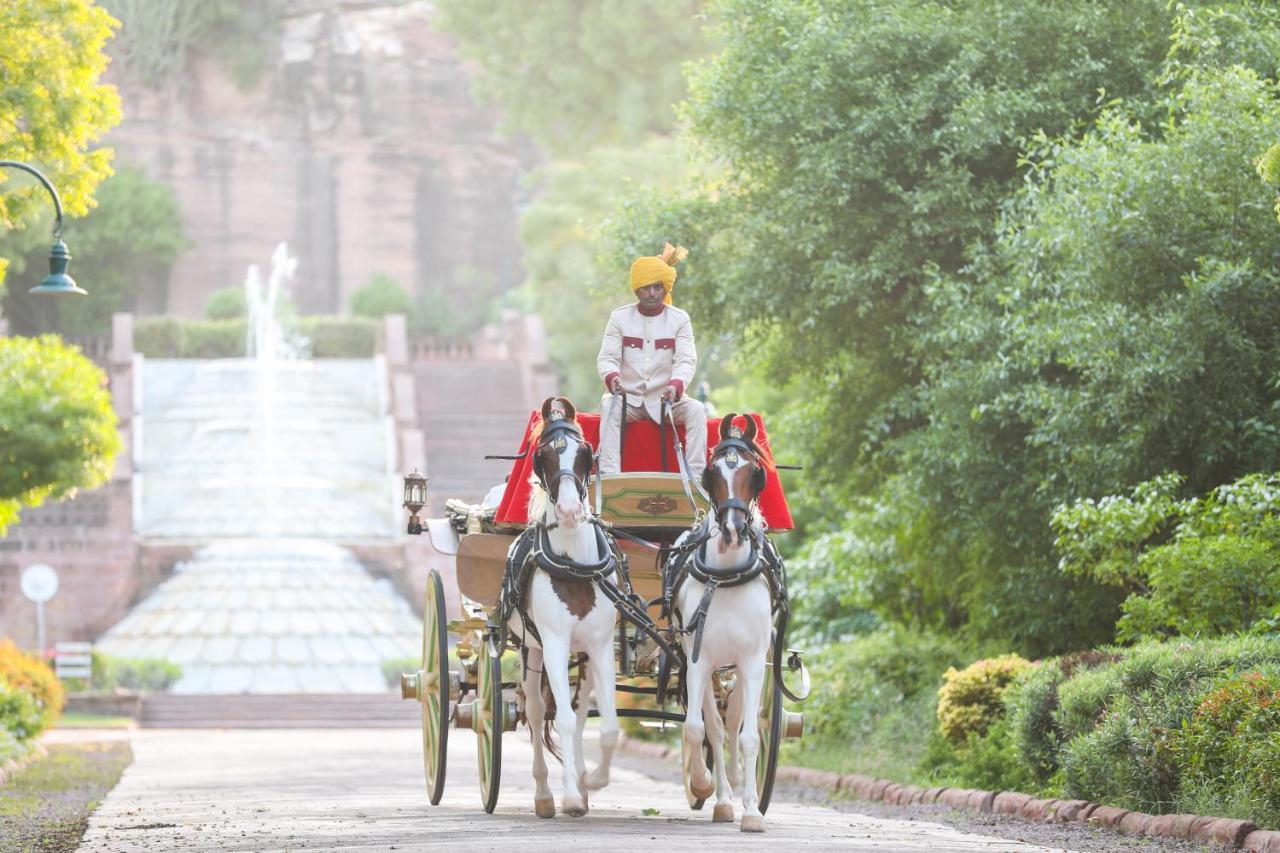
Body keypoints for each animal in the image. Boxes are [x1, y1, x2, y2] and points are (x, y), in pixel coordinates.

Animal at [509, 394, 624, 814]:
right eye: (542, 455)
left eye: (584, 452)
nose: (572, 511)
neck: (576, 567)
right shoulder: (555, 643)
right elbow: (561, 720)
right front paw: (571, 794)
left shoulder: (601, 646)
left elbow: (607, 725)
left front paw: (594, 780)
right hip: (532, 649)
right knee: (535, 710)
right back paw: (545, 794)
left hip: (583, 657)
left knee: (578, 707)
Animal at [670, 412, 778, 829]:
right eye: (712, 472)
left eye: (755, 472)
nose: (732, 531)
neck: (727, 575)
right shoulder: (697, 660)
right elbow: (699, 728)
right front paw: (705, 786)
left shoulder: (753, 662)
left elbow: (747, 735)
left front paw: (752, 810)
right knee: (716, 727)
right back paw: (722, 796)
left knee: (735, 725)